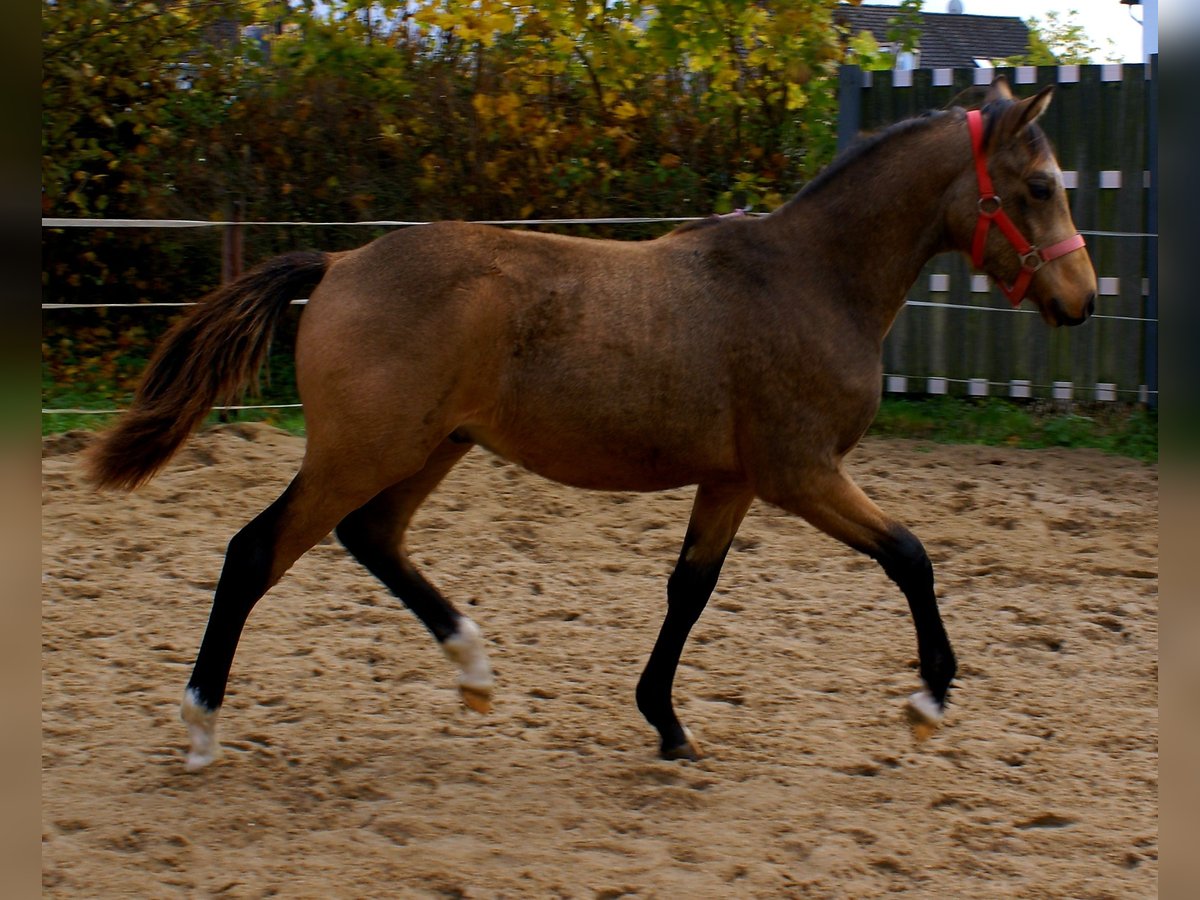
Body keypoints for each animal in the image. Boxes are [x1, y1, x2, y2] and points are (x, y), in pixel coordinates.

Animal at [88, 77, 1094, 772]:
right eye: (1042, 184)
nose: (1081, 299)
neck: (810, 278)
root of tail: (337, 265)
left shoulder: (731, 480)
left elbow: (689, 591)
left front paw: (668, 724)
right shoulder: (800, 474)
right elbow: (912, 557)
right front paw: (929, 700)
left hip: (427, 448)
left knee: (371, 538)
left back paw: (474, 672)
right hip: (363, 450)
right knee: (255, 551)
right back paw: (202, 726)